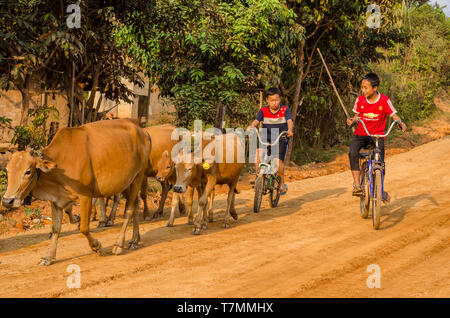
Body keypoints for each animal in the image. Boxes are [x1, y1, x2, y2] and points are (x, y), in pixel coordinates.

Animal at [1, 118, 151, 264]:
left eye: (27, 171)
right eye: (7, 170)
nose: (7, 201)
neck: (59, 165)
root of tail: (142, 131)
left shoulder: (86, 196)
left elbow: (83, 228)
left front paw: (96, 246)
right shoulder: (56, 201)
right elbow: (56, 229)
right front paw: (49, 257)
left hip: (138, 176)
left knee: (129, 209)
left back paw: (119, 244)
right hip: (126, 182)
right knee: (136, 206)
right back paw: (134, 241)